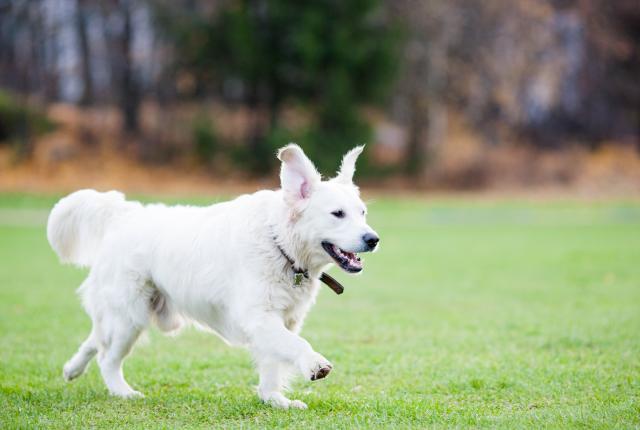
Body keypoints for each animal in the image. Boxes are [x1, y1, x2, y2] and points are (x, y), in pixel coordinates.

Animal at [51, 144, 380, 410]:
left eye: (362, 212)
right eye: (337, 214)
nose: (373, 239)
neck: (280, 244)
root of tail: (126, 214)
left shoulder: (283, 320)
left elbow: (274, 363)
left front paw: (275, 399)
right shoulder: (259, 317)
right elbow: (296, 345)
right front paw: (314, 364)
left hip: (124, 315)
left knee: (95, 340)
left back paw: (71, 369)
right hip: (130, 316)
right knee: (107, 357)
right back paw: (123, 392)